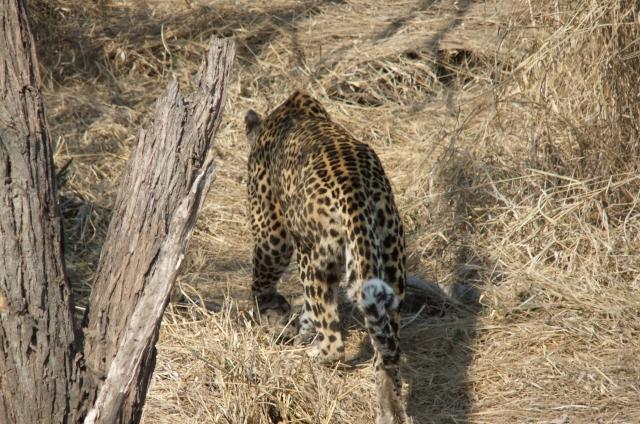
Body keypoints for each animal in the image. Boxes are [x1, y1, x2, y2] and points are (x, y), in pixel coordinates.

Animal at [244, 91, 408, 424]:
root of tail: (356, 192)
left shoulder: (271, 227)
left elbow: (263, 278)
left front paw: (269, 313)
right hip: (390, 264)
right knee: (386, 349)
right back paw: (388, 407)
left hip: (314, 257)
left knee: (335, 342)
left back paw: (315, 354)